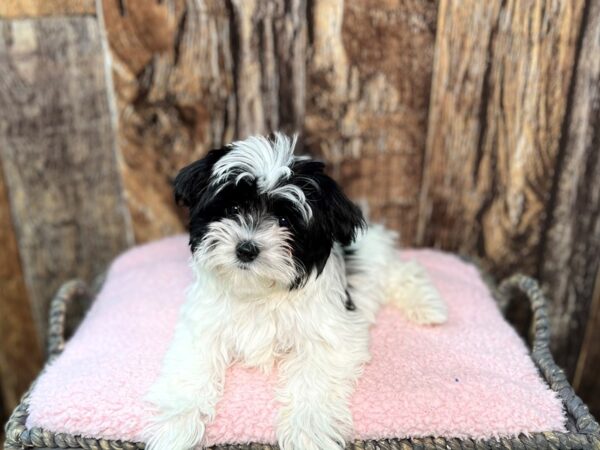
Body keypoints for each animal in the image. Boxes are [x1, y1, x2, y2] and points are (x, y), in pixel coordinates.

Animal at [144, 133, 446, 450]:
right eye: (233, 209)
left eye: (285, 221)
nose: (246, 249)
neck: (259, 290)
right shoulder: (203, 328)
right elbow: (190, 370)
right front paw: (175, 426)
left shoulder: (329, 335)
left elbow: (314, 379)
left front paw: (309, 431)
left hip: (376, 259)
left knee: (403, 272)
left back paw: (428, 308)